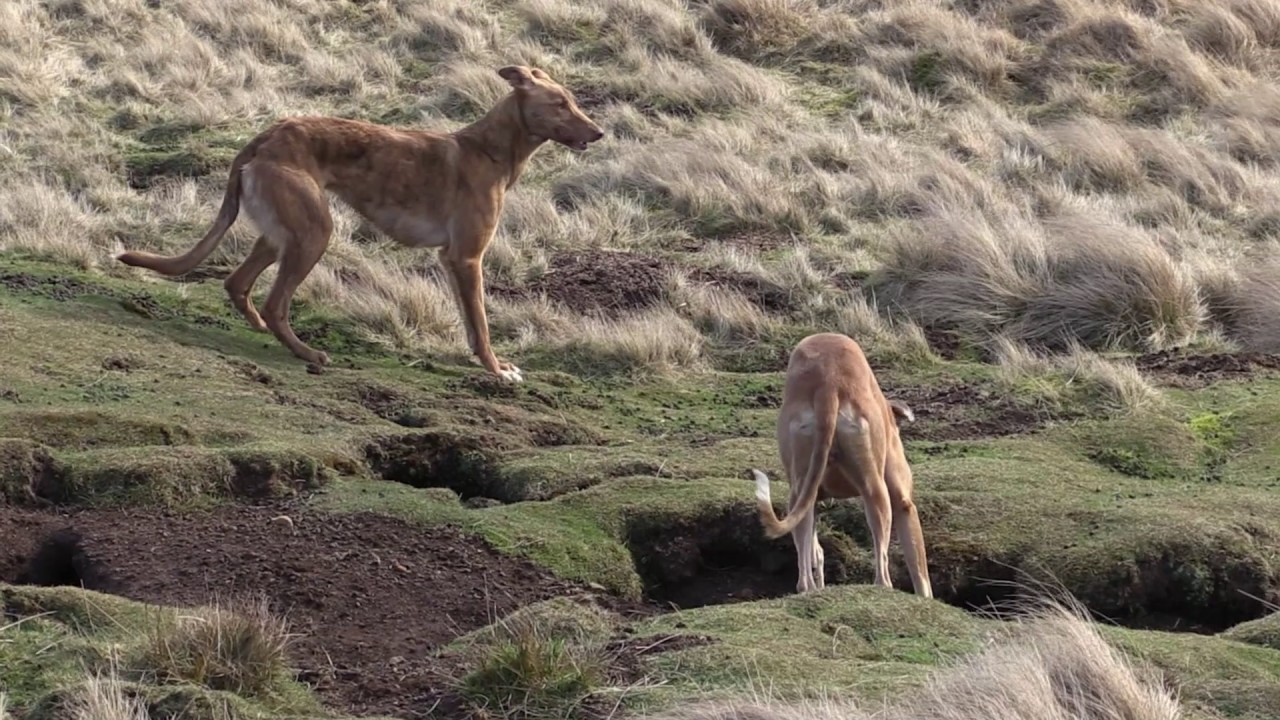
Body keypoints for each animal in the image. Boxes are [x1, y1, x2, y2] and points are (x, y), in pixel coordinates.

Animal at [116, 65, 604, 381]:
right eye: (560, 104)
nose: (599, 133)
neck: (491, 151)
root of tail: (263, 137)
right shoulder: (466, 258)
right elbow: (481, 325)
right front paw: (497, 369)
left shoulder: (454, 262)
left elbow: (470, 326)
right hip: (314, 233)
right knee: (276, 303)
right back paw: (307, 353)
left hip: (281, 233)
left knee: (238, 284)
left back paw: (263, 329)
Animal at [747, 330, 931, 594]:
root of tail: (828, 384)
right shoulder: (903, 502)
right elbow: (920, 573)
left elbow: (816, 552)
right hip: (875, 490)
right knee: (882, 573)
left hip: (801, 489)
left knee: (804, 575)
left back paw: (810, 587)